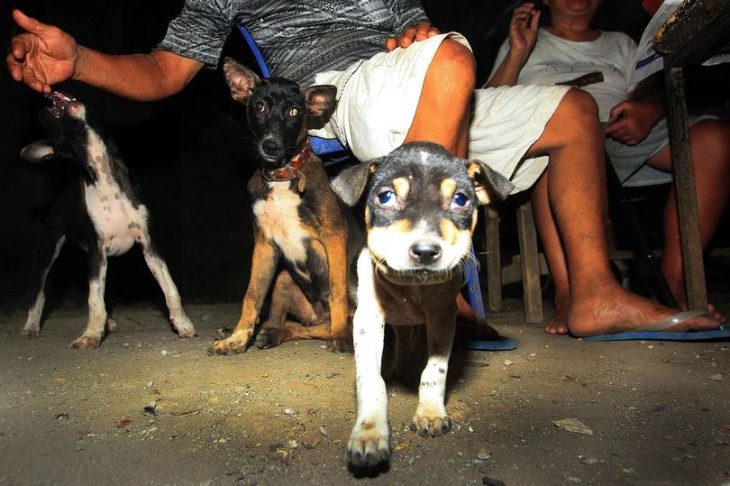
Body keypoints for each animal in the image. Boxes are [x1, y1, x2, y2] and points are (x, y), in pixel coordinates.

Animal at [20, 91, 196, 348]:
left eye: (49, 124)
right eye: (53, 131)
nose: (41, 111)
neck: (105, 177)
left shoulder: (149, 244)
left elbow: (170, 287)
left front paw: (182, 323)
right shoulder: (96, 251)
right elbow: (94, 300)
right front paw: (90, 336)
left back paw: (109, 323)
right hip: (48, 251)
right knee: (38, 292)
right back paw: (31, 327)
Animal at [208, 58, 358, 356]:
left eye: (294, 111)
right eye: (259, 106)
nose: (271, 146)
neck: (283, 175)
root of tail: (317, 314)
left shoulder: (334, 235)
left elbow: (337, 290)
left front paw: (340, 337)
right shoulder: (264, 243)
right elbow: (252, 295)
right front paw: (238, 338)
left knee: (320, 327)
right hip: (284, 281)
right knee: (289, 323)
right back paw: (266, 333)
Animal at [328, 142, 510, 468]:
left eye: (461, 199)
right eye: (385, 196)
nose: (425, 251)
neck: (410, 287)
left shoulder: (442, 316)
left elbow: (434, 371)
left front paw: (431, 412)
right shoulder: (367, 320)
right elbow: (370, 380)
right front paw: (369, 431)